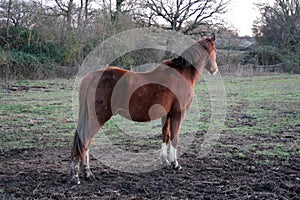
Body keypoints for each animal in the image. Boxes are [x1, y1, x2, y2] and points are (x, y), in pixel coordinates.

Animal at [71, 35, 219, 184]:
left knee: (85, 142)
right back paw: (78, 175)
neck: (182, 74)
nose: (215, 69)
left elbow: (166, 135)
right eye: (215, 51)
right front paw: (175, 164)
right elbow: (175, 137)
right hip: (98, 117)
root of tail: (91, 77)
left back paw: (84, 173)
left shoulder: (166, 114)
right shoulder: (178, 113)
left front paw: (164, 160)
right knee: (85, 141)